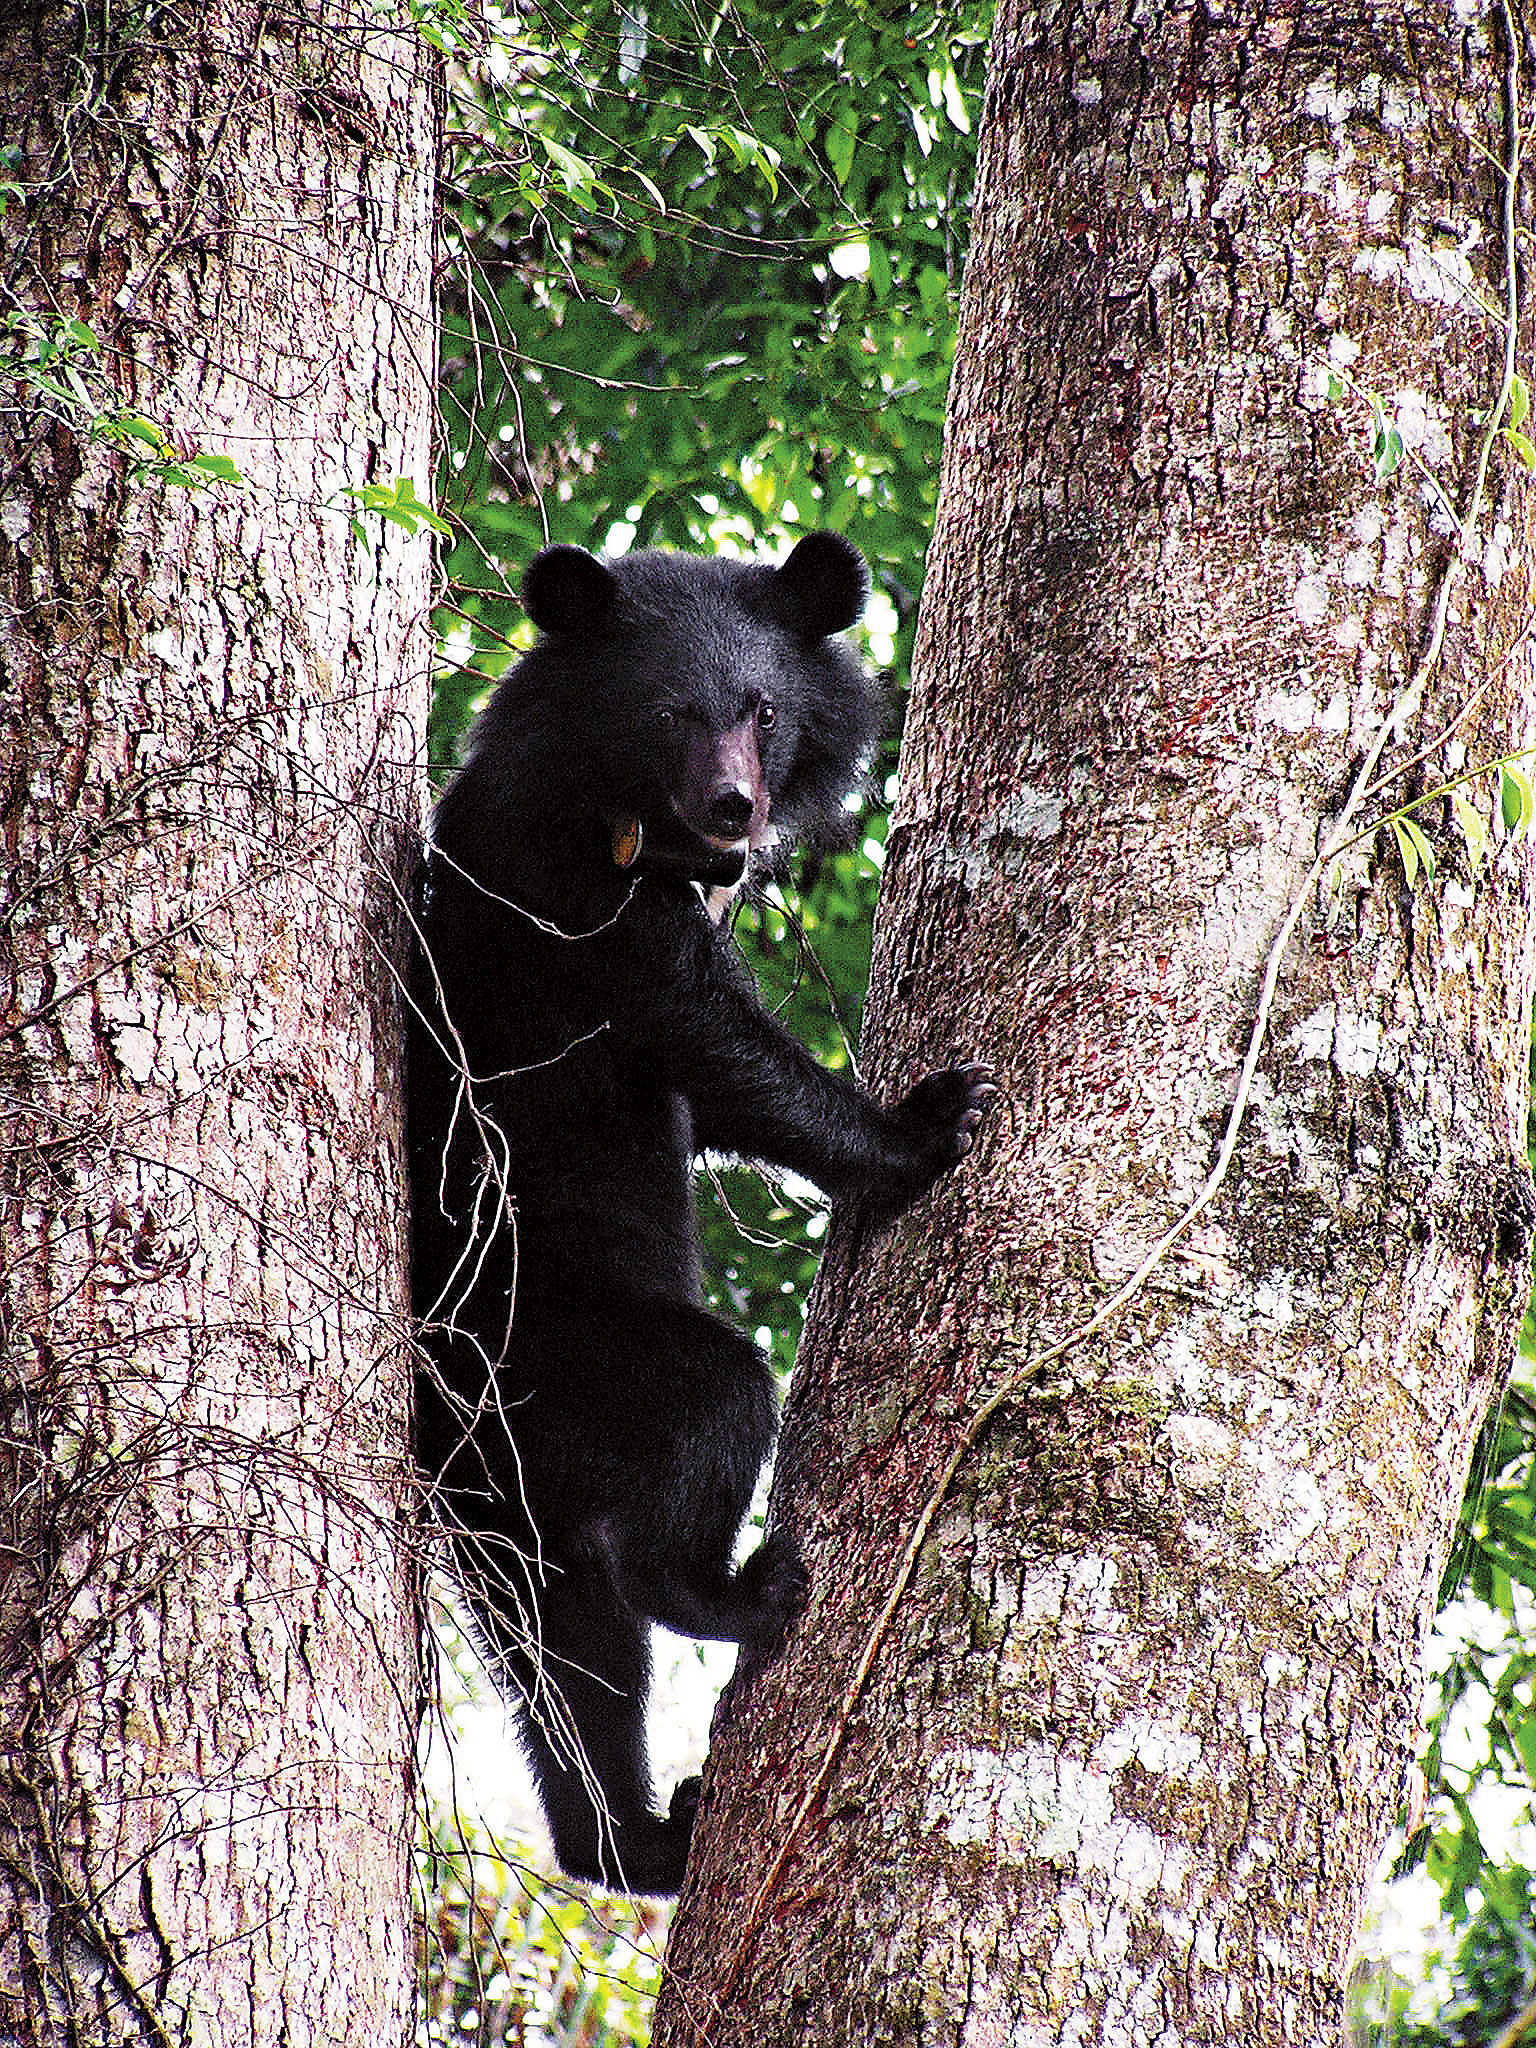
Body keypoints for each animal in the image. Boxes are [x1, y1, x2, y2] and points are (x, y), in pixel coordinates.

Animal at [408, 531, 993, 1896]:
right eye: (671, 711)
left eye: (764, 710)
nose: (735, 810)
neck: (632, 828)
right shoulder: (572, 905)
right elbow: (715, 1043)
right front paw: (929, 1121)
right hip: (564, 1346)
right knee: (703, 1420)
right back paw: (736, 1591)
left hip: (504, 1482)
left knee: (565, 1648)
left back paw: (632, 1836)